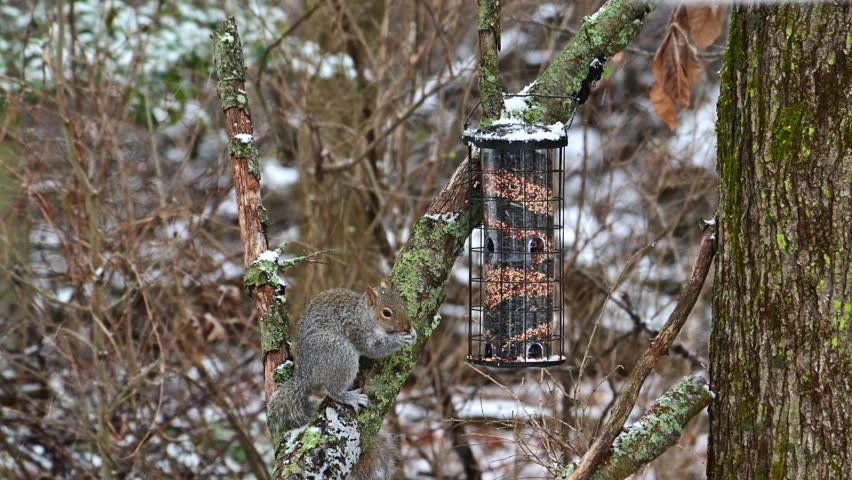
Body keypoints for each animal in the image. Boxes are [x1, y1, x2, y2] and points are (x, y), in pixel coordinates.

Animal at [268, 283, 416, 479]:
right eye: (386, 313)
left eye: (403, 304)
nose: (407, 326)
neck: (362, 313)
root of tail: (306, 375)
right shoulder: (356, 330)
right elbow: (374, 348)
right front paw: (399, 338)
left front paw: (413, 332)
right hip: (339, 353)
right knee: (333, 390)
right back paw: (350, 397)